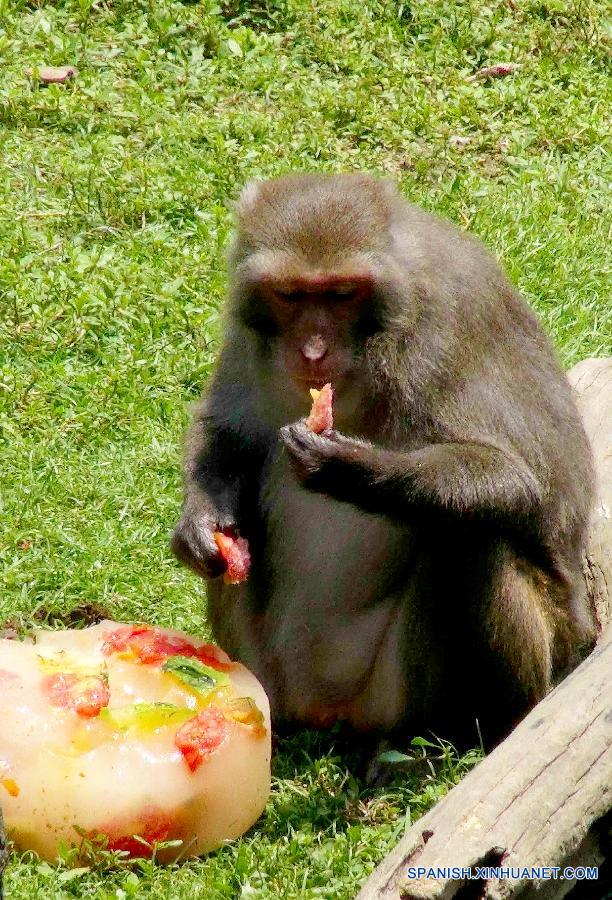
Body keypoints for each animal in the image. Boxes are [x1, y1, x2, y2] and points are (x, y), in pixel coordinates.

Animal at [170, 171, 596, 760]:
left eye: (341, 294)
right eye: (290, 294)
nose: (313, 350)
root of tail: (330, 714)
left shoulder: (445, 327)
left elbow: (518, 479)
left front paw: (345, 466)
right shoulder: (247, 334)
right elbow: (228, 434)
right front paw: (199, 522)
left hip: (410, 690)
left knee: (473, 535)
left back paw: (450, 737)